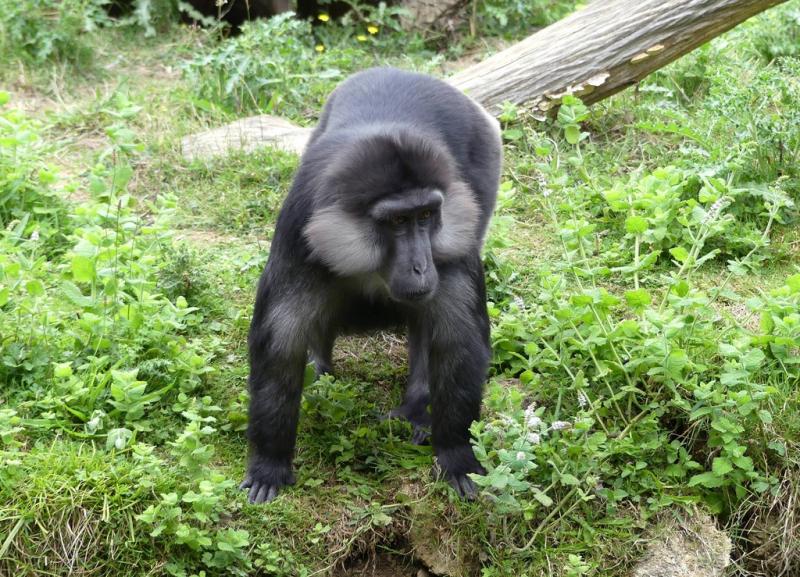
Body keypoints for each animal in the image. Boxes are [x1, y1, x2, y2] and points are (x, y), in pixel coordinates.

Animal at [240, 67, 503, 504]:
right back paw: (321, 373)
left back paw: (417, 407)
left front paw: (456, 455)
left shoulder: (454, 238)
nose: (421, 267)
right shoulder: (300, 228)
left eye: (426, 215)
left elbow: (459, 341)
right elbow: (280, 345)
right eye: (397, 221)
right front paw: (269, 464)